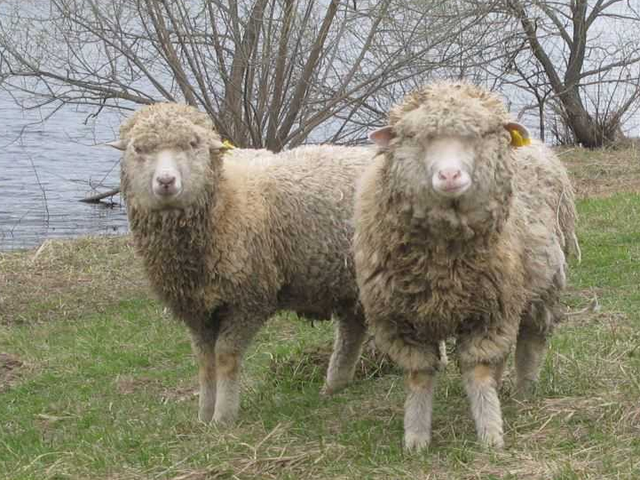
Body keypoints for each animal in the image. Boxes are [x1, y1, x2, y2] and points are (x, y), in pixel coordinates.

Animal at [108, 102, 375, 425]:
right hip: (349, 284)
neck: (225, 203)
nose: (166, 182)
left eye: (193, 144)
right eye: (138, 149)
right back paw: (335, 385)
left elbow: (225, 356)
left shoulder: (249, 299)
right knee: (352, 329)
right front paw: (204, 416)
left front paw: (223, 417)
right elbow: (205, 361)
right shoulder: (197, 308)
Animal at [353, 82, 579, 451]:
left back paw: (525, 391)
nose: (449, 175)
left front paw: (490, 434)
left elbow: (479, 371)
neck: (443, 263)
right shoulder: (400, 320)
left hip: (542, 286)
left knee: (530, 340)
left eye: (480, 135)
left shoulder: (491, 309)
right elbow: (418, 376)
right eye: (415, 137)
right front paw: (416, 438)